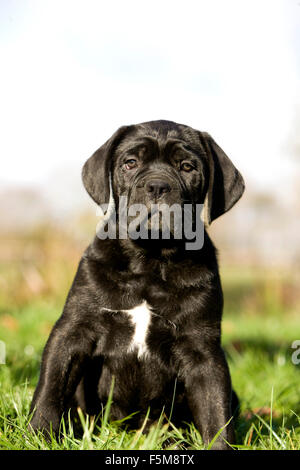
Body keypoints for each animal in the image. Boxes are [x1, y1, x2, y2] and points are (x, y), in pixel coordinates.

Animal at [29, 119, 244, 450]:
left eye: (187, 167)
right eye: (130, 163)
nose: (157, 186)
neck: (150, 262)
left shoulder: (203, 350)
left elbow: (215, 410)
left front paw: (219, 446)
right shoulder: (74, 330)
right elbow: (51, 386)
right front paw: (38, 434)